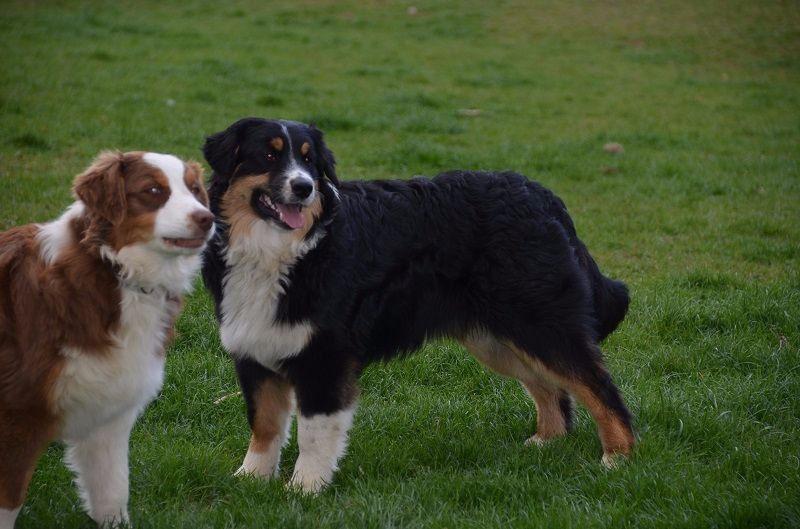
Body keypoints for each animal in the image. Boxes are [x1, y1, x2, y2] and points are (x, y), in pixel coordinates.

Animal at [0, 151, 216, 524]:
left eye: (194, 189)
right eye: (153, 190)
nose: (207, 218)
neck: (111, 269)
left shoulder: (108, 412)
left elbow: (113, 493)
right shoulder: (18, 416)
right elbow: (8, 503)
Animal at [198, 117, 632, 492]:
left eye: (308, 160)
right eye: (269, 156)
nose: (304, 188)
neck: (281, 252)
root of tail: (541, 194)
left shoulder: (326, 358)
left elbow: (314, 434)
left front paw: (304, 489)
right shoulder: (255, 349)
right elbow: (264, 425)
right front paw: (251, 479)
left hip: (540, 322)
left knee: (598, 385)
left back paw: (618, 457)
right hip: (499, 338)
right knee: (551, 388)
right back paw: (546, 442)